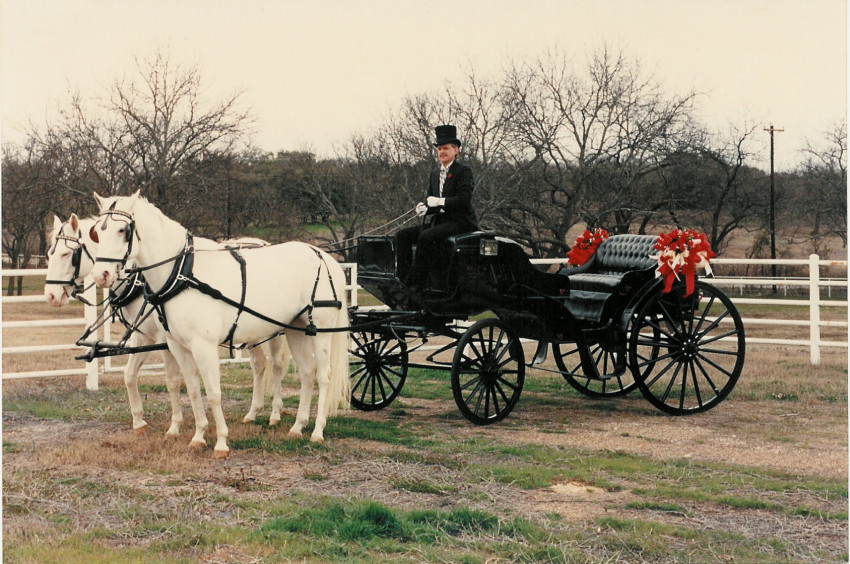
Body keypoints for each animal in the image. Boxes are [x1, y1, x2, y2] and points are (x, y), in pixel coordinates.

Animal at [45, 214, 294, 437]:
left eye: (67, 254)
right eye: (50, 254)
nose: (51, 296)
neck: (141, 280)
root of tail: (263, 243)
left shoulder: (165, 340)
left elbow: (173, 381)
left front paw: (176, 425)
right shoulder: (144, 337)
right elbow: (130, 375)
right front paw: (139, 421)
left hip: (276, 330)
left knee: (276, 365)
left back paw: (274, 414)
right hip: (253, 333)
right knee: (259, 364)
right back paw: (253, 413)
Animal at [89, 192, 350, 457]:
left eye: (123, 230)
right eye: (97, 232)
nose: (101, 275)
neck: (182, 273)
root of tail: (325, 258)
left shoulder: (203, 346)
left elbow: (213, 392)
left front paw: (221, 441)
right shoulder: (176, 345)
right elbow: (191, 388)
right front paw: (198, 435)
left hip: (320, 331)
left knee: (323, 375)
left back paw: (317, 431)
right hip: (294, 329)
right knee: (307, 372)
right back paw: (297, 426)